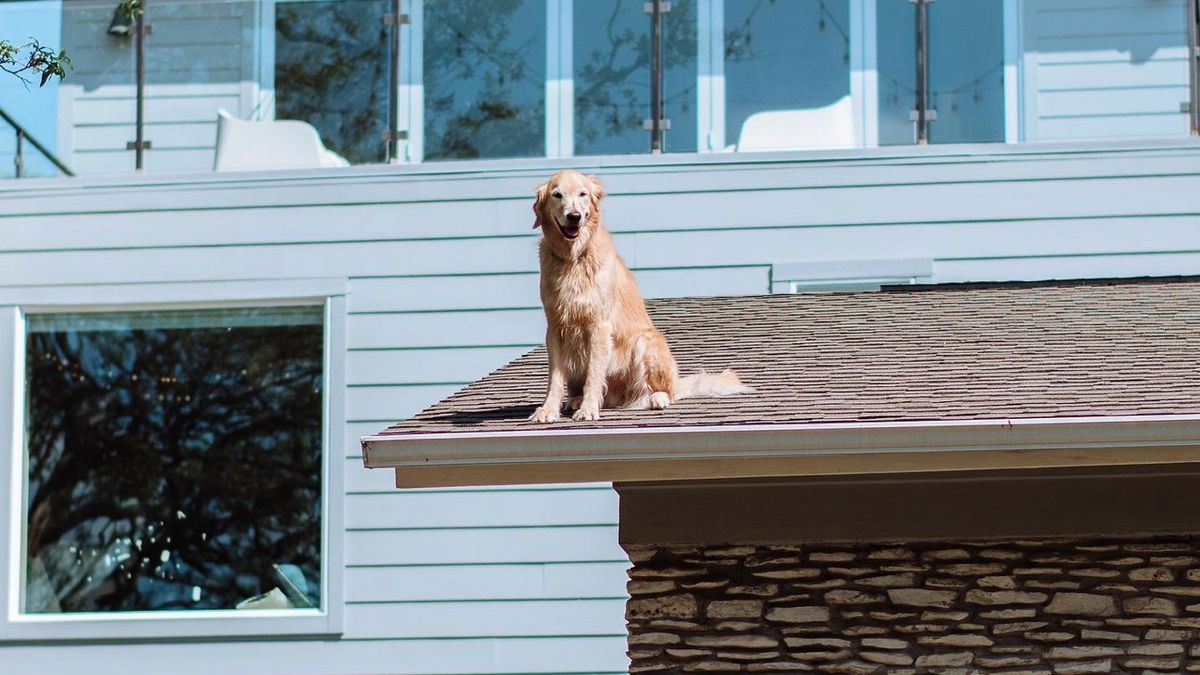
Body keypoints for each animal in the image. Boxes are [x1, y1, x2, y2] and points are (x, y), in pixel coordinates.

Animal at [528, 169, 744, 420]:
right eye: (557, 195)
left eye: (582, 194)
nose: (574, 216)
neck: (573, 258)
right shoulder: (555, 327)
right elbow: (554, 378)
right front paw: (548, 410)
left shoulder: (598, 325)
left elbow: (594, 374)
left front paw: (589, 409)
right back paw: (577, 399)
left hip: (647, 341)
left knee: (663, 391)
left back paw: (656, 398)